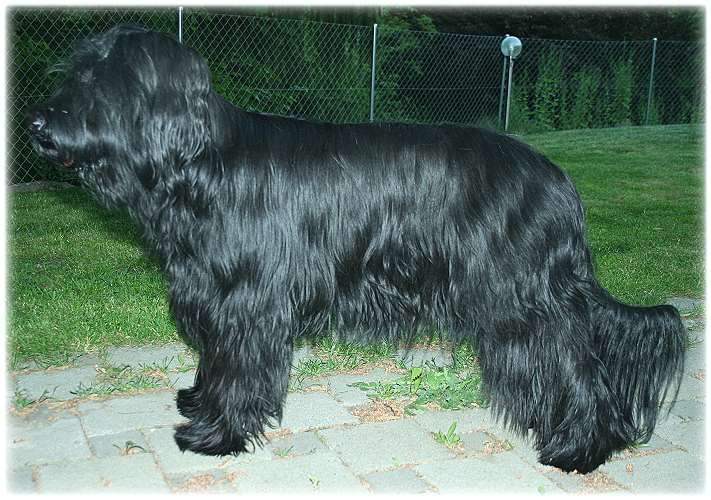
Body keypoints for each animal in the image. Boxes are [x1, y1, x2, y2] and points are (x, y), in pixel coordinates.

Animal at [26, 24, 685, 474]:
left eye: (100, 82)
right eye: (75, 74)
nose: (35, 124)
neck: (200, 164)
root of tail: (557, 179)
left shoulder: (247, 300)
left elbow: (238, 366)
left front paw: (216, 435)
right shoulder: (215, 296)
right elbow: (215, 363)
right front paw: (200, 405)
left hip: (518, 299)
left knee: (573, 362)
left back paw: (580, 447)